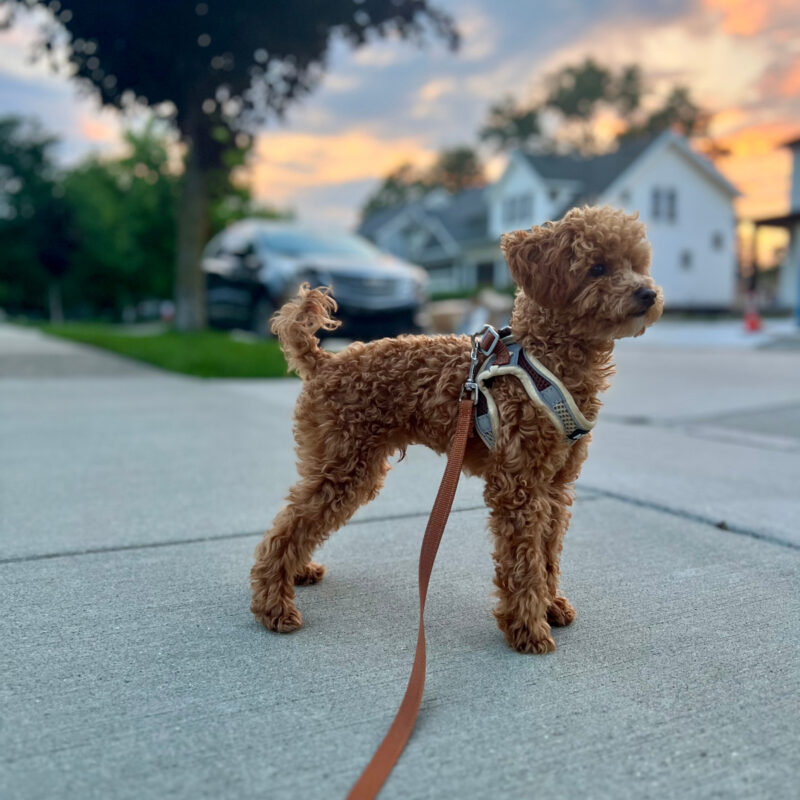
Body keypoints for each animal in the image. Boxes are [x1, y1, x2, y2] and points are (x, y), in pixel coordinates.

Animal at [250, 206, 664, 656]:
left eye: (637, 264)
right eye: (597, 268)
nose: (648, 294)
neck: (545, 358)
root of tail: (324, 361)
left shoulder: (555, 486)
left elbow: (548, 553)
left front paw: (551, 605)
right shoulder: (518, 485)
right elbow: (524, 560)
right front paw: (528, 629)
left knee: (297, 521)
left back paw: (298, 572)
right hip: (345, 462)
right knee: (288, 527)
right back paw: (273, 605)